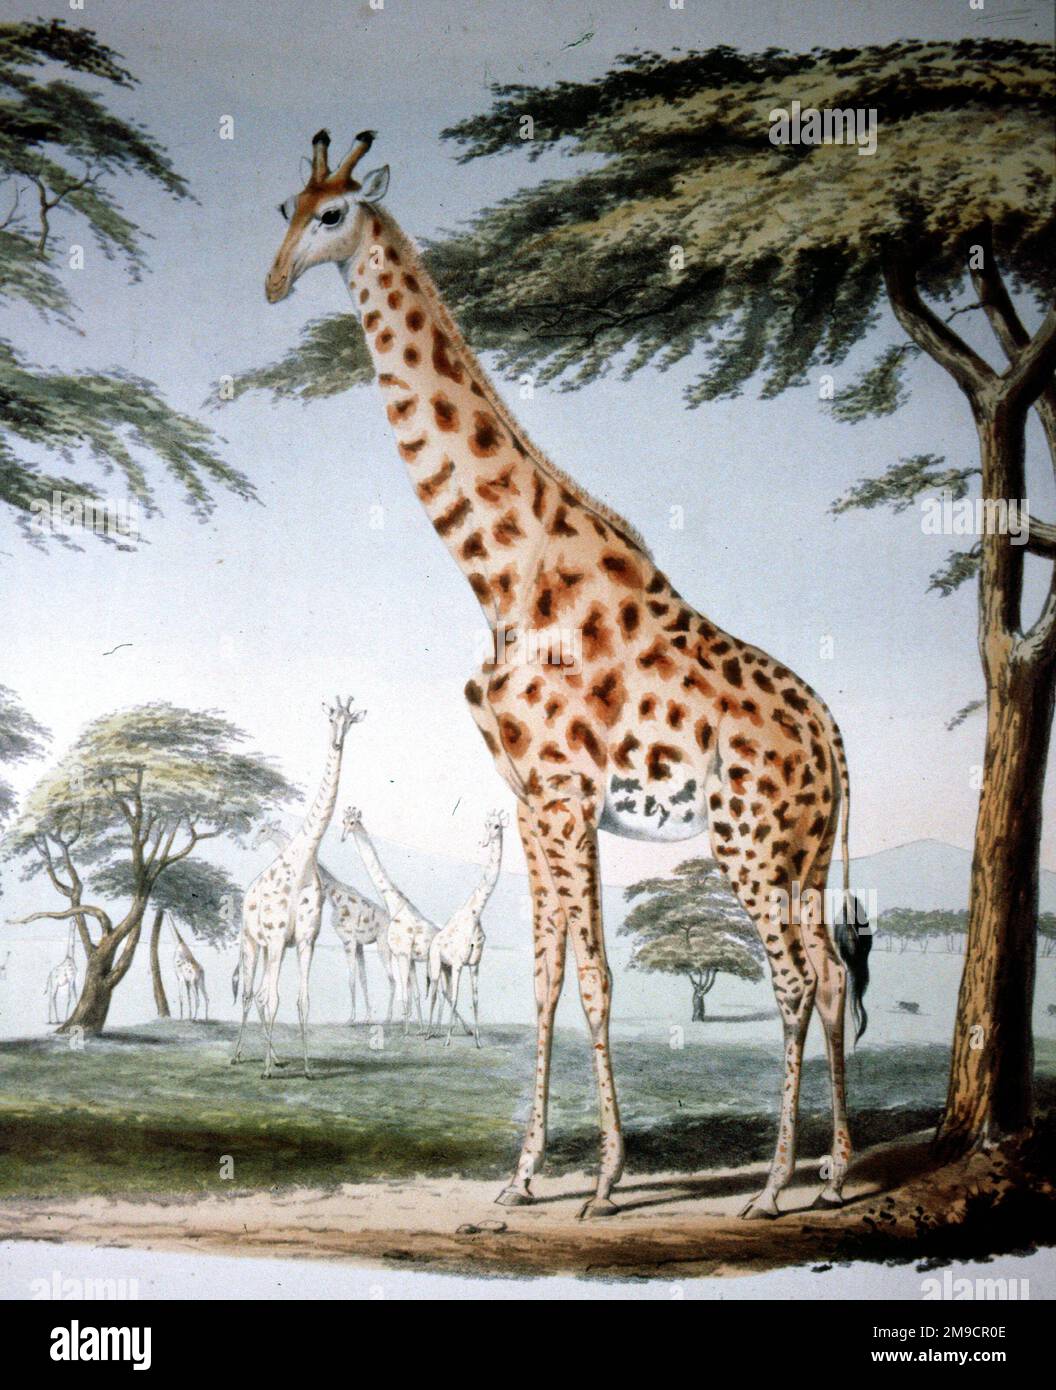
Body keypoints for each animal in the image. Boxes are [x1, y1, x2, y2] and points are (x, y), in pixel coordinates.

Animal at [232, 697, 364, 1077]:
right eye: (332, 718)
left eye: (351, 721)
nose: (338, 742)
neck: (304, 860)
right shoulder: (278, 938)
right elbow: (272, 998)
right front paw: (265, 1070)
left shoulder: (305, 939)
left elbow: (303, 1000)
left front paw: (306, 1068)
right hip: (250, 942)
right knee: (250, 994)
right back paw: (240, 1055)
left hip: (267, 948)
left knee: (260, 993)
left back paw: (276, 1057)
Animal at [254, 820, 395, 1024]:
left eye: (263, 830)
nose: (254, 844)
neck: (334, 895)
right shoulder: (358, 944)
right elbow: (362, 979)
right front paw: (366, 1016)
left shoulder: (348, 940)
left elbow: (351, 979)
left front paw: (351, 1018)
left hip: (383, 944)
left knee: (393, 979)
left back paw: (390, 1017)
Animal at [426, 810, 506, 1047]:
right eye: (486, 824)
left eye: (497, 826)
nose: (483, 842)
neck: (475, 915)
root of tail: (433, 941)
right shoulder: (459, 964)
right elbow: (456, 997)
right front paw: (448, 1041)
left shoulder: (474, 964)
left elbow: (475, 999)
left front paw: (478, 1041)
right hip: (437, 964)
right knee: (436, 992)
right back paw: (427, 1033)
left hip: (446, 968)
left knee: (444, 992)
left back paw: (437, 1030)